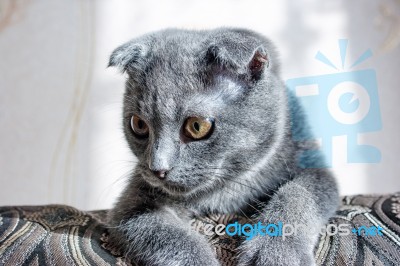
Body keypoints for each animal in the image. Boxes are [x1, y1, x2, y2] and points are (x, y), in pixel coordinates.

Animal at [105, 28, 338, 264]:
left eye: (197, 126)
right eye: (138, 124)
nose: (158, 169)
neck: (225, 191)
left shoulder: (312, 166)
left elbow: (297, 194)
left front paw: (276, 252)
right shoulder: (134, 202)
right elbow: (168, 236)